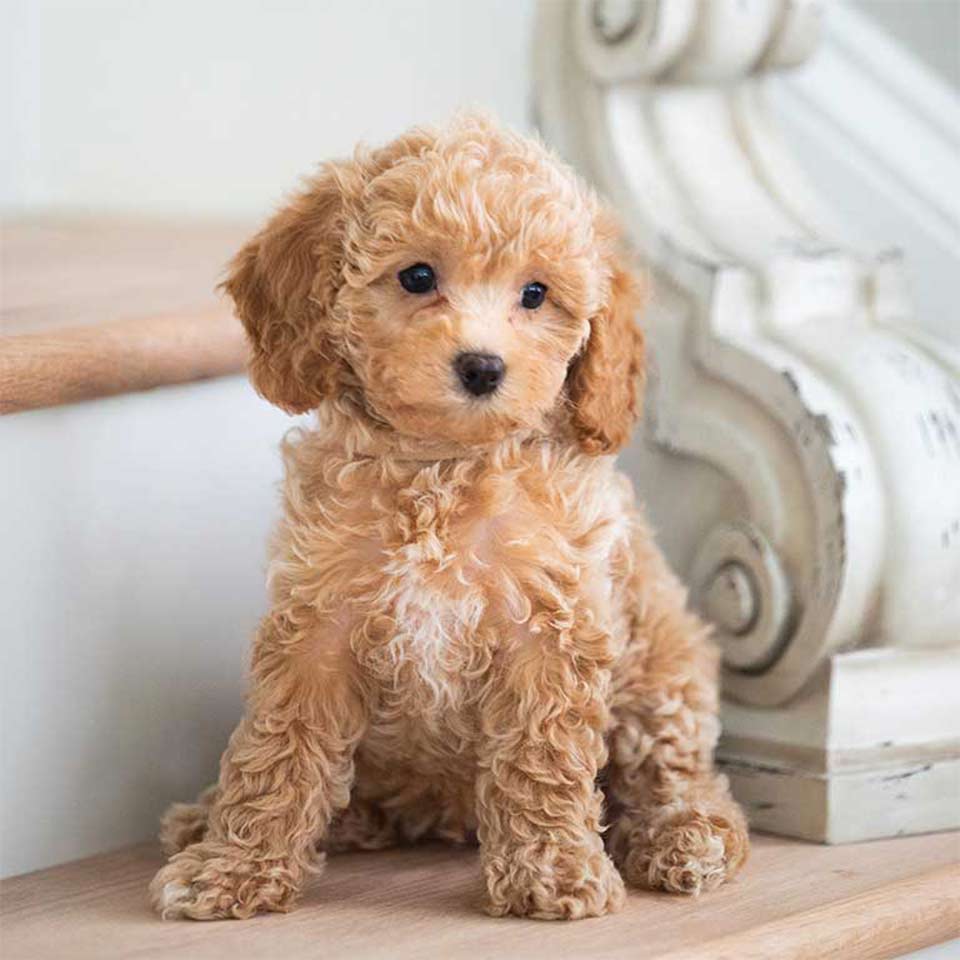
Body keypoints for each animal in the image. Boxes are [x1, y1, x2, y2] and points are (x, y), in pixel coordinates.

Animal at [152, 114, 752, 924]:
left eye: (536, 293)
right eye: (416, 276)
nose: (482, 367)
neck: (441, 469)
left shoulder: (549, 628)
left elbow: (541, 759)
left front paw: (552, 871)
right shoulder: (317, 621)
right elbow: (278, 751)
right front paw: (233, 864)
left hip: (664, 670)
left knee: (677, 773)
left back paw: (686, 836)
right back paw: (229, 818)